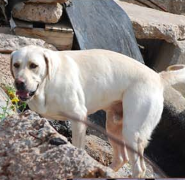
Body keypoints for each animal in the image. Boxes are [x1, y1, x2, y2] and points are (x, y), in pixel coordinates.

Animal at [10, 45, 185, 177]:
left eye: (34, 65)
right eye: (16, 65)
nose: (19, 82)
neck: (47, 84)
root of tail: (158, 77)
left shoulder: (79, 117)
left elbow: (78, 147)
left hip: (132, 133)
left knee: (139, 169)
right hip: (113, 127)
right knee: (121, 158)